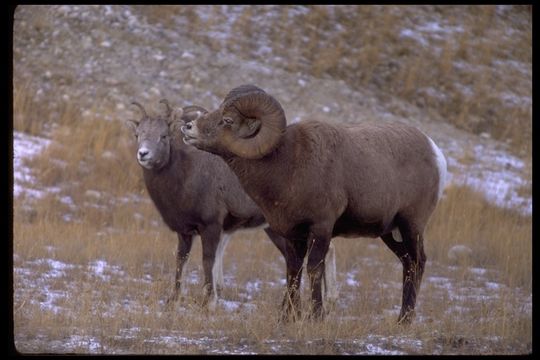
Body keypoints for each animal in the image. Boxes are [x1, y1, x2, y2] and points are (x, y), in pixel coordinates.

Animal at [127, 100, 338, 310]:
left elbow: (208, 261)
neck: (185, 176)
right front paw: (175, 299)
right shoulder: (185, 232)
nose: (143, 154)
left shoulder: (211, 227)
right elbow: (181, 260)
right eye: (138, 135)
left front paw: (209, 301)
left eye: (163, 136)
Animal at [181, 85, 448, 324]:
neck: (287, 165)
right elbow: (293, 270)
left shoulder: (321, 228)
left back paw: (405, 320)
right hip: (390, 234)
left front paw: (316, 317)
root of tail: (435, 153)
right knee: (407, 263)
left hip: (411, 225)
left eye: (227, 120)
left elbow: (313, 269)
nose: (188, 127)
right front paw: (286, 318)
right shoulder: (292, 234)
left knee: (417, 263)